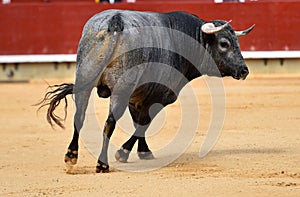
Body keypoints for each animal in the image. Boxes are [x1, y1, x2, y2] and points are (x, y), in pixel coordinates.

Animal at [38, 9, 253, 172]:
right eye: (224, 43)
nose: (244, 70)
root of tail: (115, 21)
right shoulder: (160, 96)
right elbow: (143, 123)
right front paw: (124, 153)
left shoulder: (137, 97)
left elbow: (139, 123)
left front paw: (143, 151)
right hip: (121, 89)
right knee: (109, 122)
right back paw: (102, 164)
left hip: (84, 77)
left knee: (80, 117)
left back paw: (71, 156)